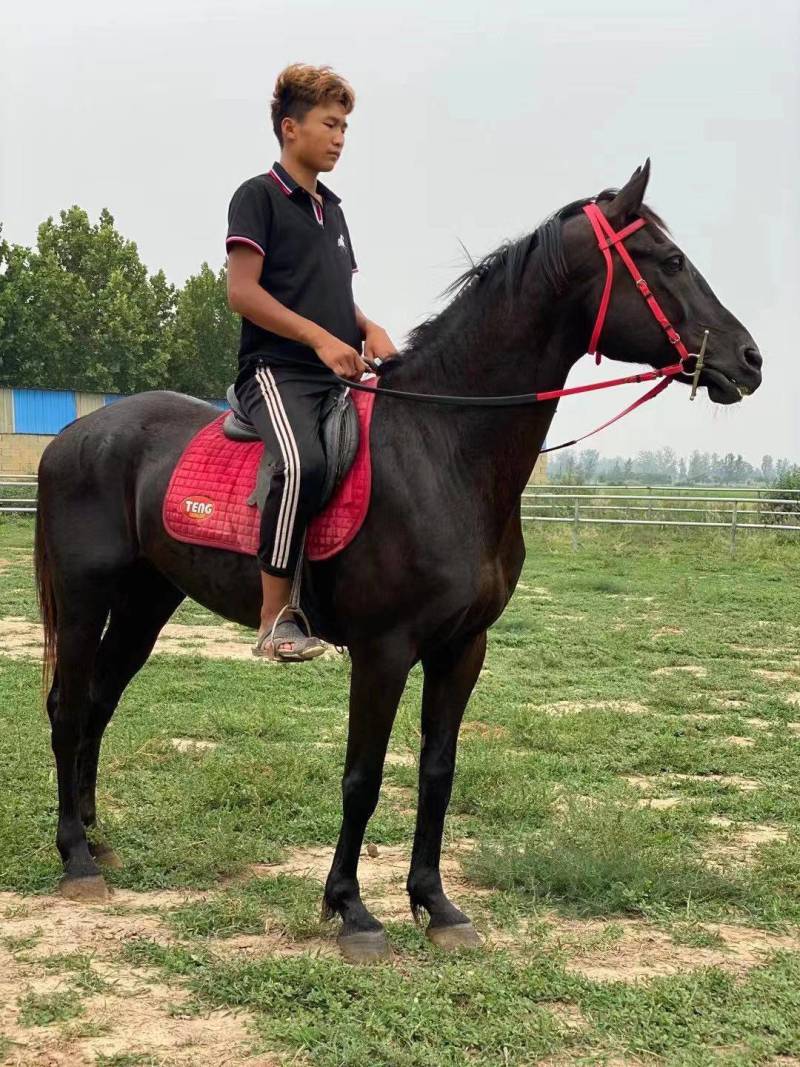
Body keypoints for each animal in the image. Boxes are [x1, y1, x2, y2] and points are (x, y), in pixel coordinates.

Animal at [34, 161, 762, 962]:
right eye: (669, 260)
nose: (750, 359)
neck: (442, 447)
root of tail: (74, 436)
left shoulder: (462, 647)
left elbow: (437, 770)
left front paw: (436, 904)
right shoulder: (383, 650)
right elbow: (363, 776)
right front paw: (351, 909)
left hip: (146, 602)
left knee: (100, 701)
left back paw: (97, 839)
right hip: (84, 601)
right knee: (68, 706)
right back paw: (74, 858)